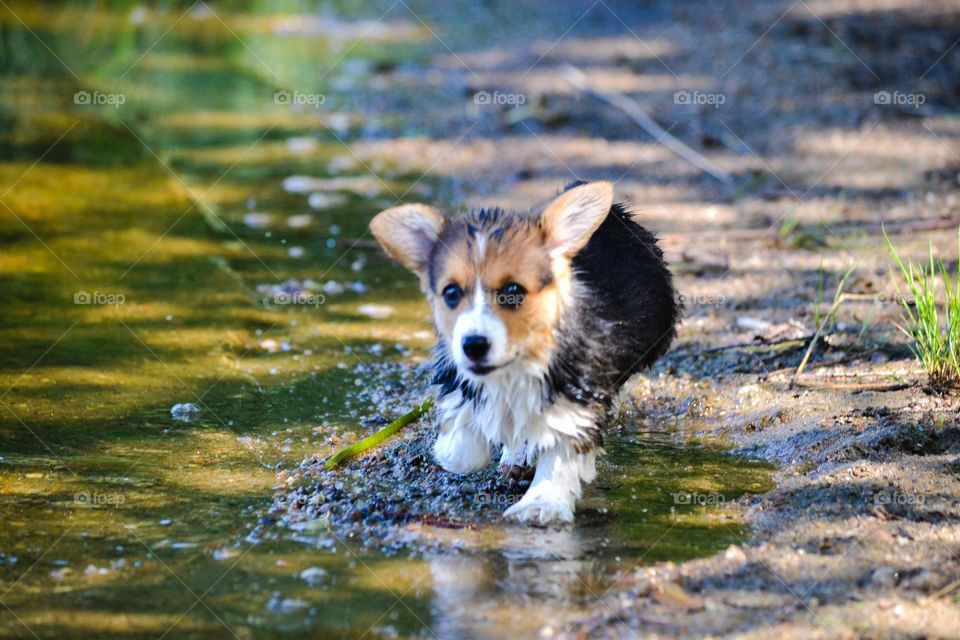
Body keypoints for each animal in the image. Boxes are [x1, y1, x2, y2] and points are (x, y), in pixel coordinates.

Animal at [372, 180, 680, 524]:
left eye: (513, 291)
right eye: (451, 293)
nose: (473, 345)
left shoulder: (576, 393)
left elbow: (559, 451)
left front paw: (541, 502)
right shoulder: (460, 374)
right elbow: (464, 444)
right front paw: (458, 447)